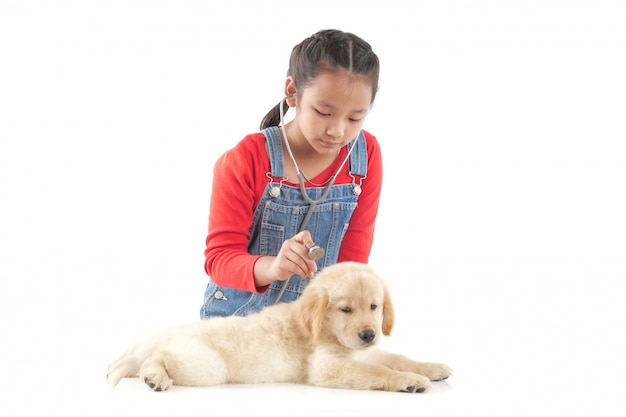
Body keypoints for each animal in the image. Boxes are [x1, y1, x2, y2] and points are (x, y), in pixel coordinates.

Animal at [106, 262, 448, 392]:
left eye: (374, 307)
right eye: (346, 309)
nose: (368, 334)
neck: (325, 330)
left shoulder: (361, 352)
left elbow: (394, 358)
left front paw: (431, 367)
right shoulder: (329, 368)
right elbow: (377, 371)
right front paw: (409, 381)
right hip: (206, 365)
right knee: (158, 358)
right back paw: (155, 377)